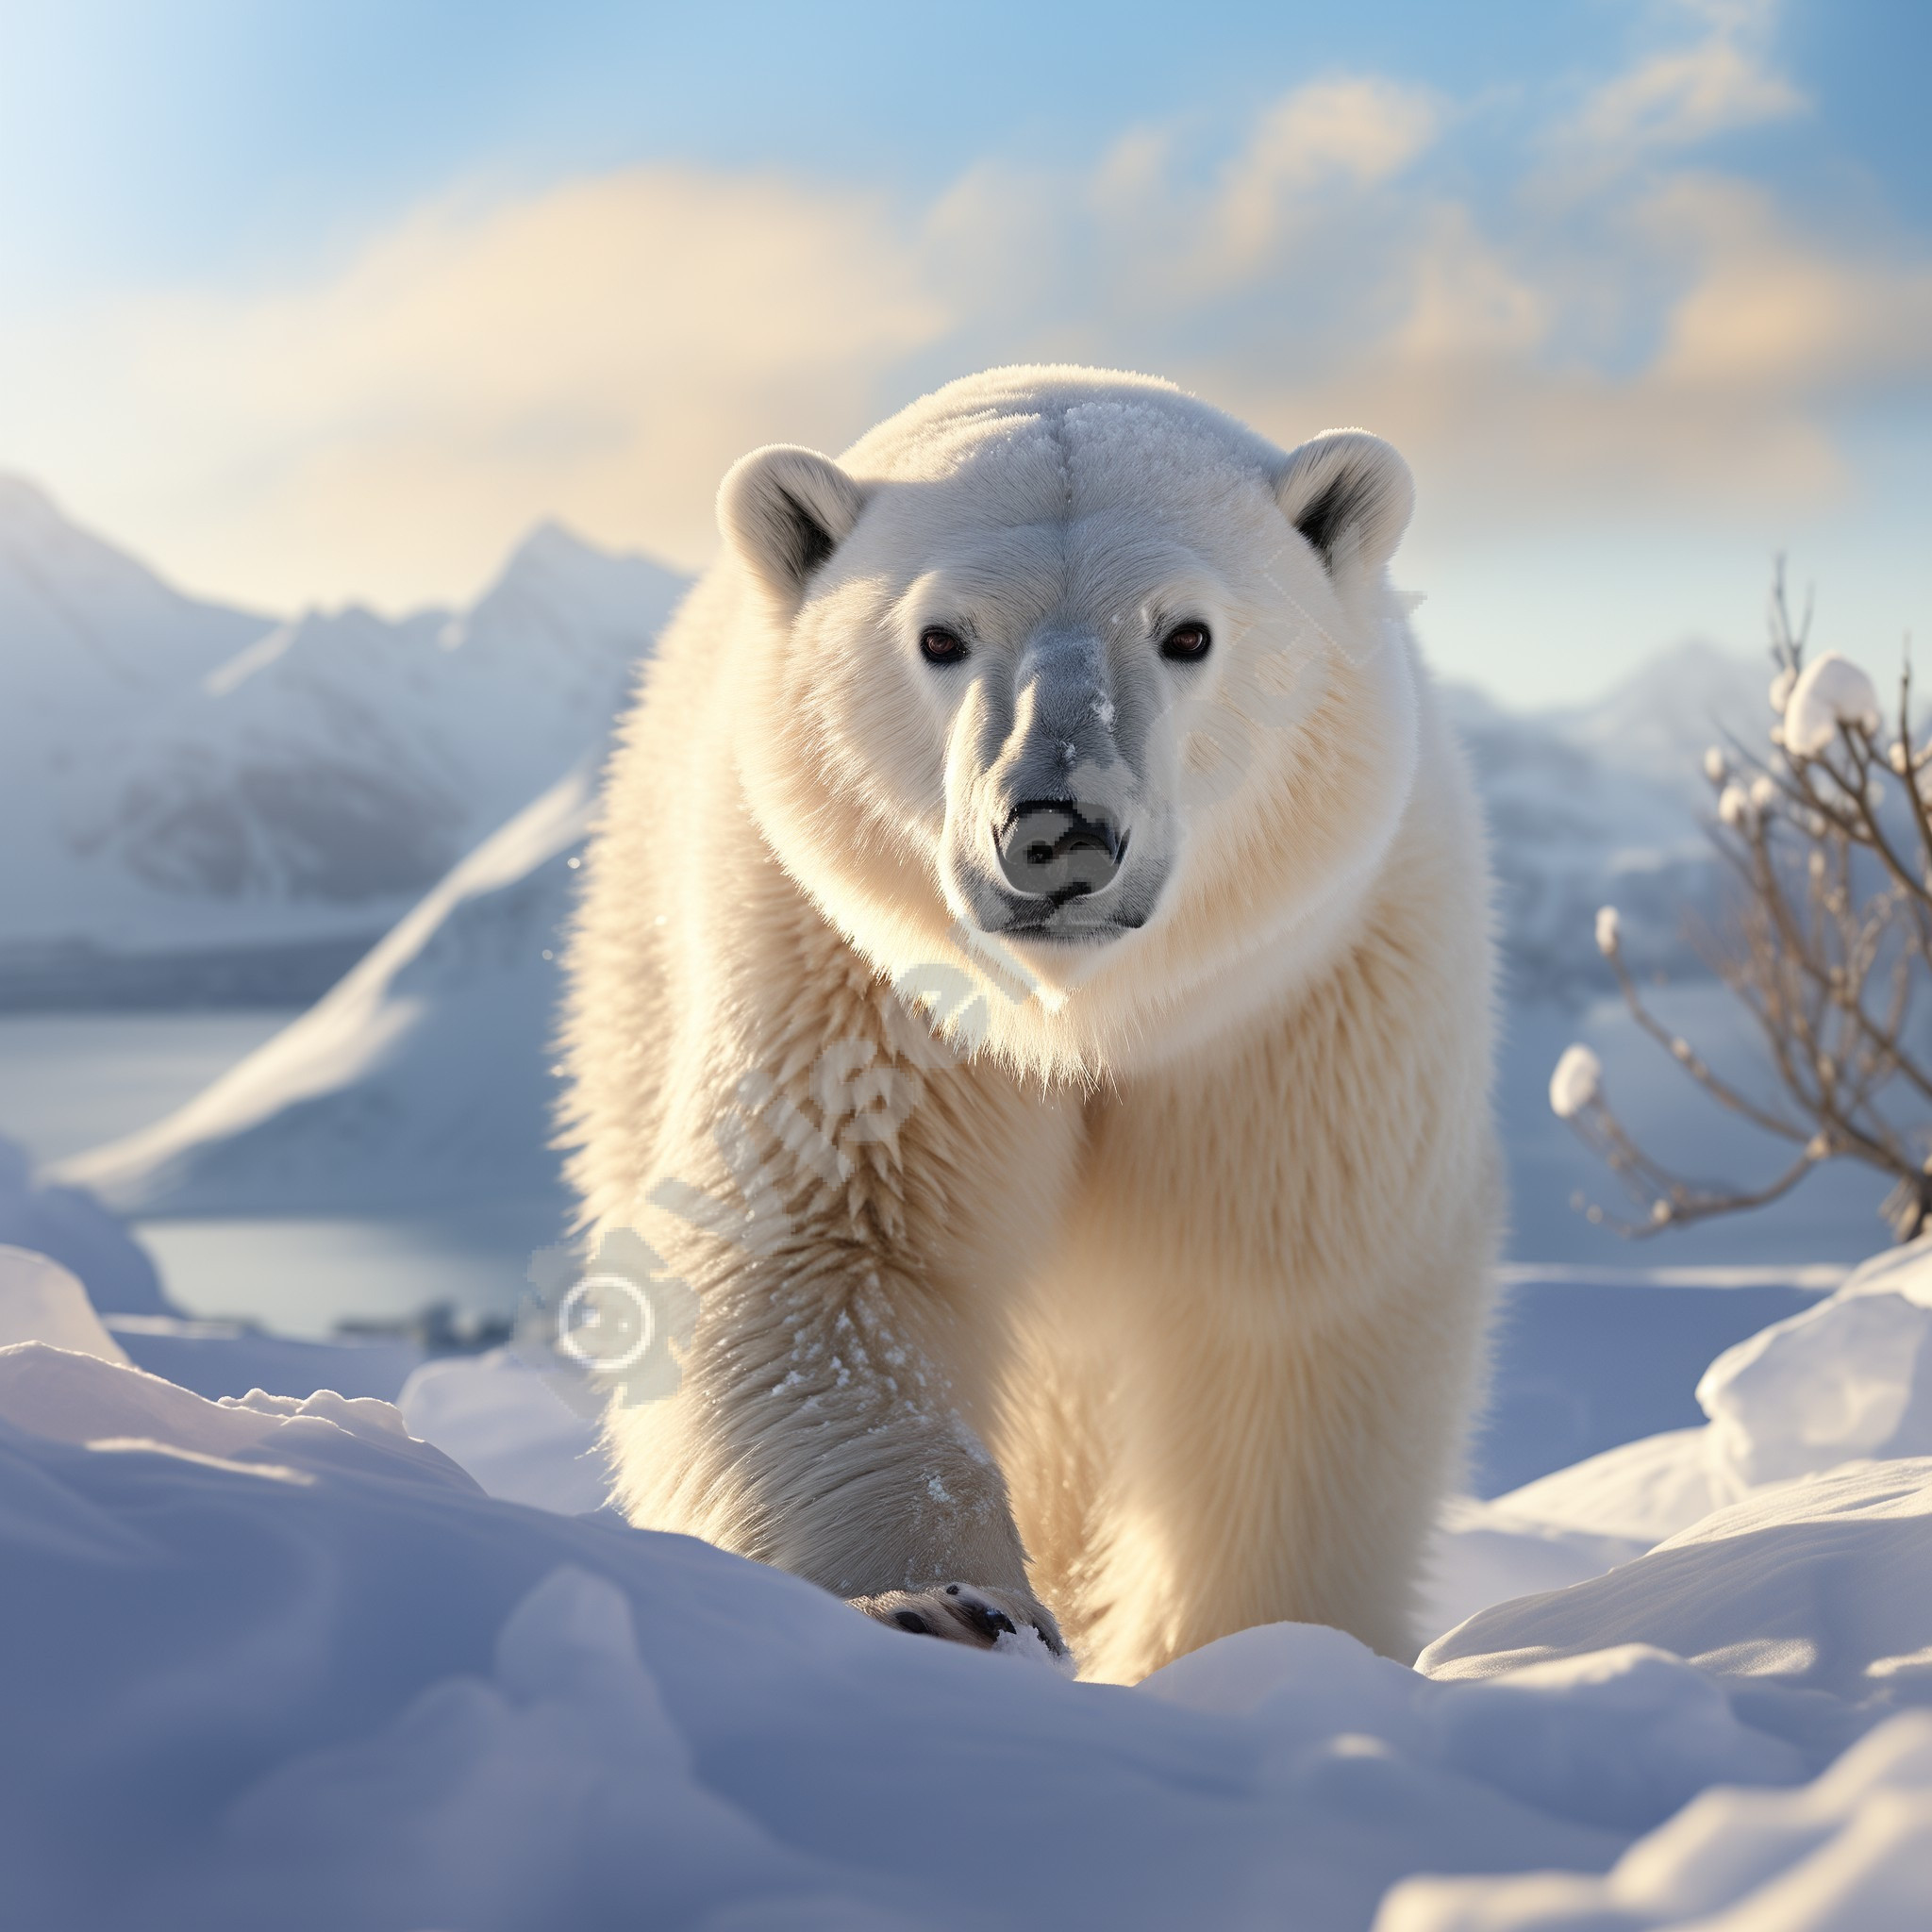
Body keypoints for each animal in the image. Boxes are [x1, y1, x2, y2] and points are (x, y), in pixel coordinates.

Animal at [561, 365, 1499, 1683]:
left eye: (1187, 631)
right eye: (939, 635)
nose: (1057, 830)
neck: (1087, 1014)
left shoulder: (1301, 1004)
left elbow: (1283, 1309)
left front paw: (1249, 1645)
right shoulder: (852, 982)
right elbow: (828, 1257)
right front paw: (944, 1605)